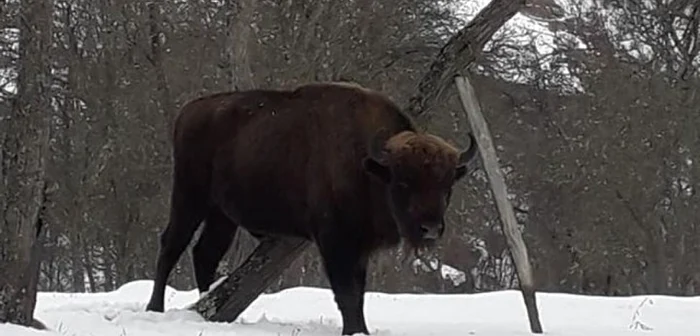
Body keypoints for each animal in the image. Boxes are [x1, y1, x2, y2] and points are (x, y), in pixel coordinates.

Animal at [145, 80, 478, 334]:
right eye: (403, 181)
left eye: (447, 185)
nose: (430, 228)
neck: (368, 166)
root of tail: (189, 111)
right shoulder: (334, 241)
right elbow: (346, 293)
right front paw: (353, 330)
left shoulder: (359, 247)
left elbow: (358, 293)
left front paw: (361, 330)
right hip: (190, 197)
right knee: (172, 245)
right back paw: (155, 308)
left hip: (222, 215)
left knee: (205, 254)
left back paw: (206, 307)